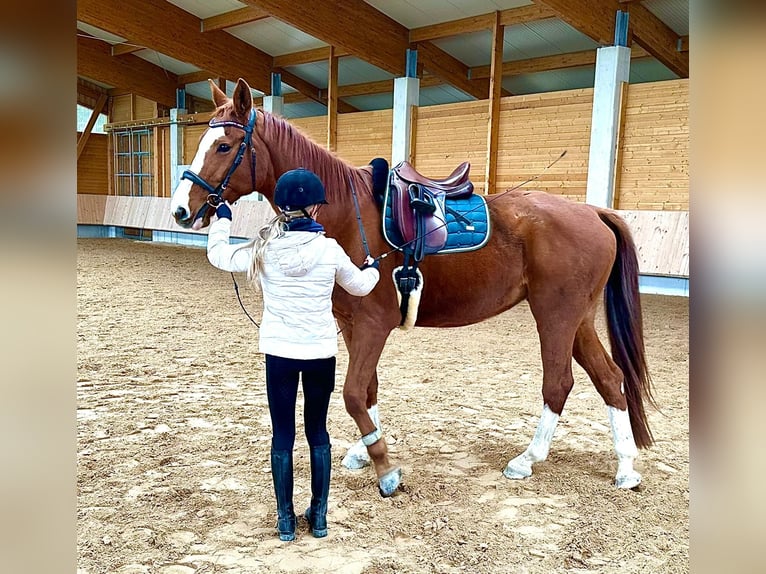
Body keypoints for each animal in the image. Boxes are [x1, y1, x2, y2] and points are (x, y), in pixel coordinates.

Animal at [170, 78, 655, 497]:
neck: (348, 214)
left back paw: (528, 459)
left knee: (559, 383)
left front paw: (384, 467)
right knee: (610, 378)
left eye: (224, 145)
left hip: (555, 315)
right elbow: (367, 390)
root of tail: (593, 212)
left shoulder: (373, 323)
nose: (180, 210)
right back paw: (626, 468)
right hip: (577, 319)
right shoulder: (352, 324)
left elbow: (352, 394)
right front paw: (364, 451)